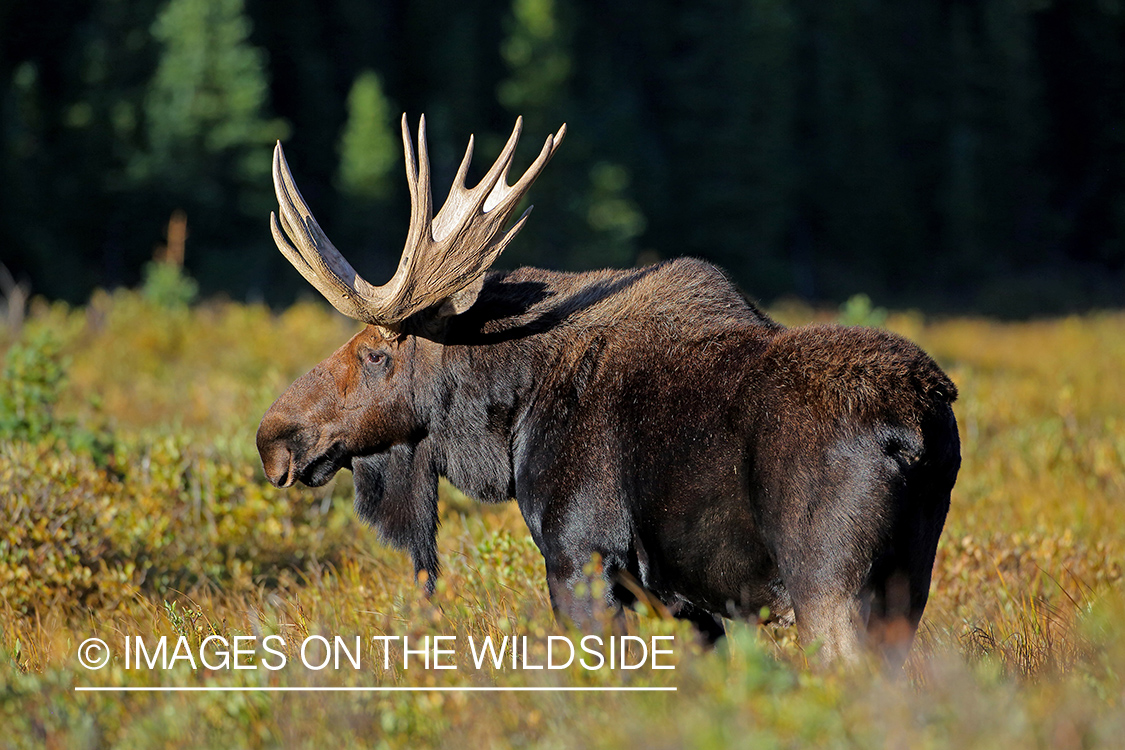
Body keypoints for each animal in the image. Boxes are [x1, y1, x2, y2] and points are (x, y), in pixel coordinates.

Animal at [255, 114, 958, 665]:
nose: (272, 437)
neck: (508, 418)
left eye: (375, 352)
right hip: (907, 585)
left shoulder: (580, 557)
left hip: (829, 587)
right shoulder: (687, 605)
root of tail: (916, 427)